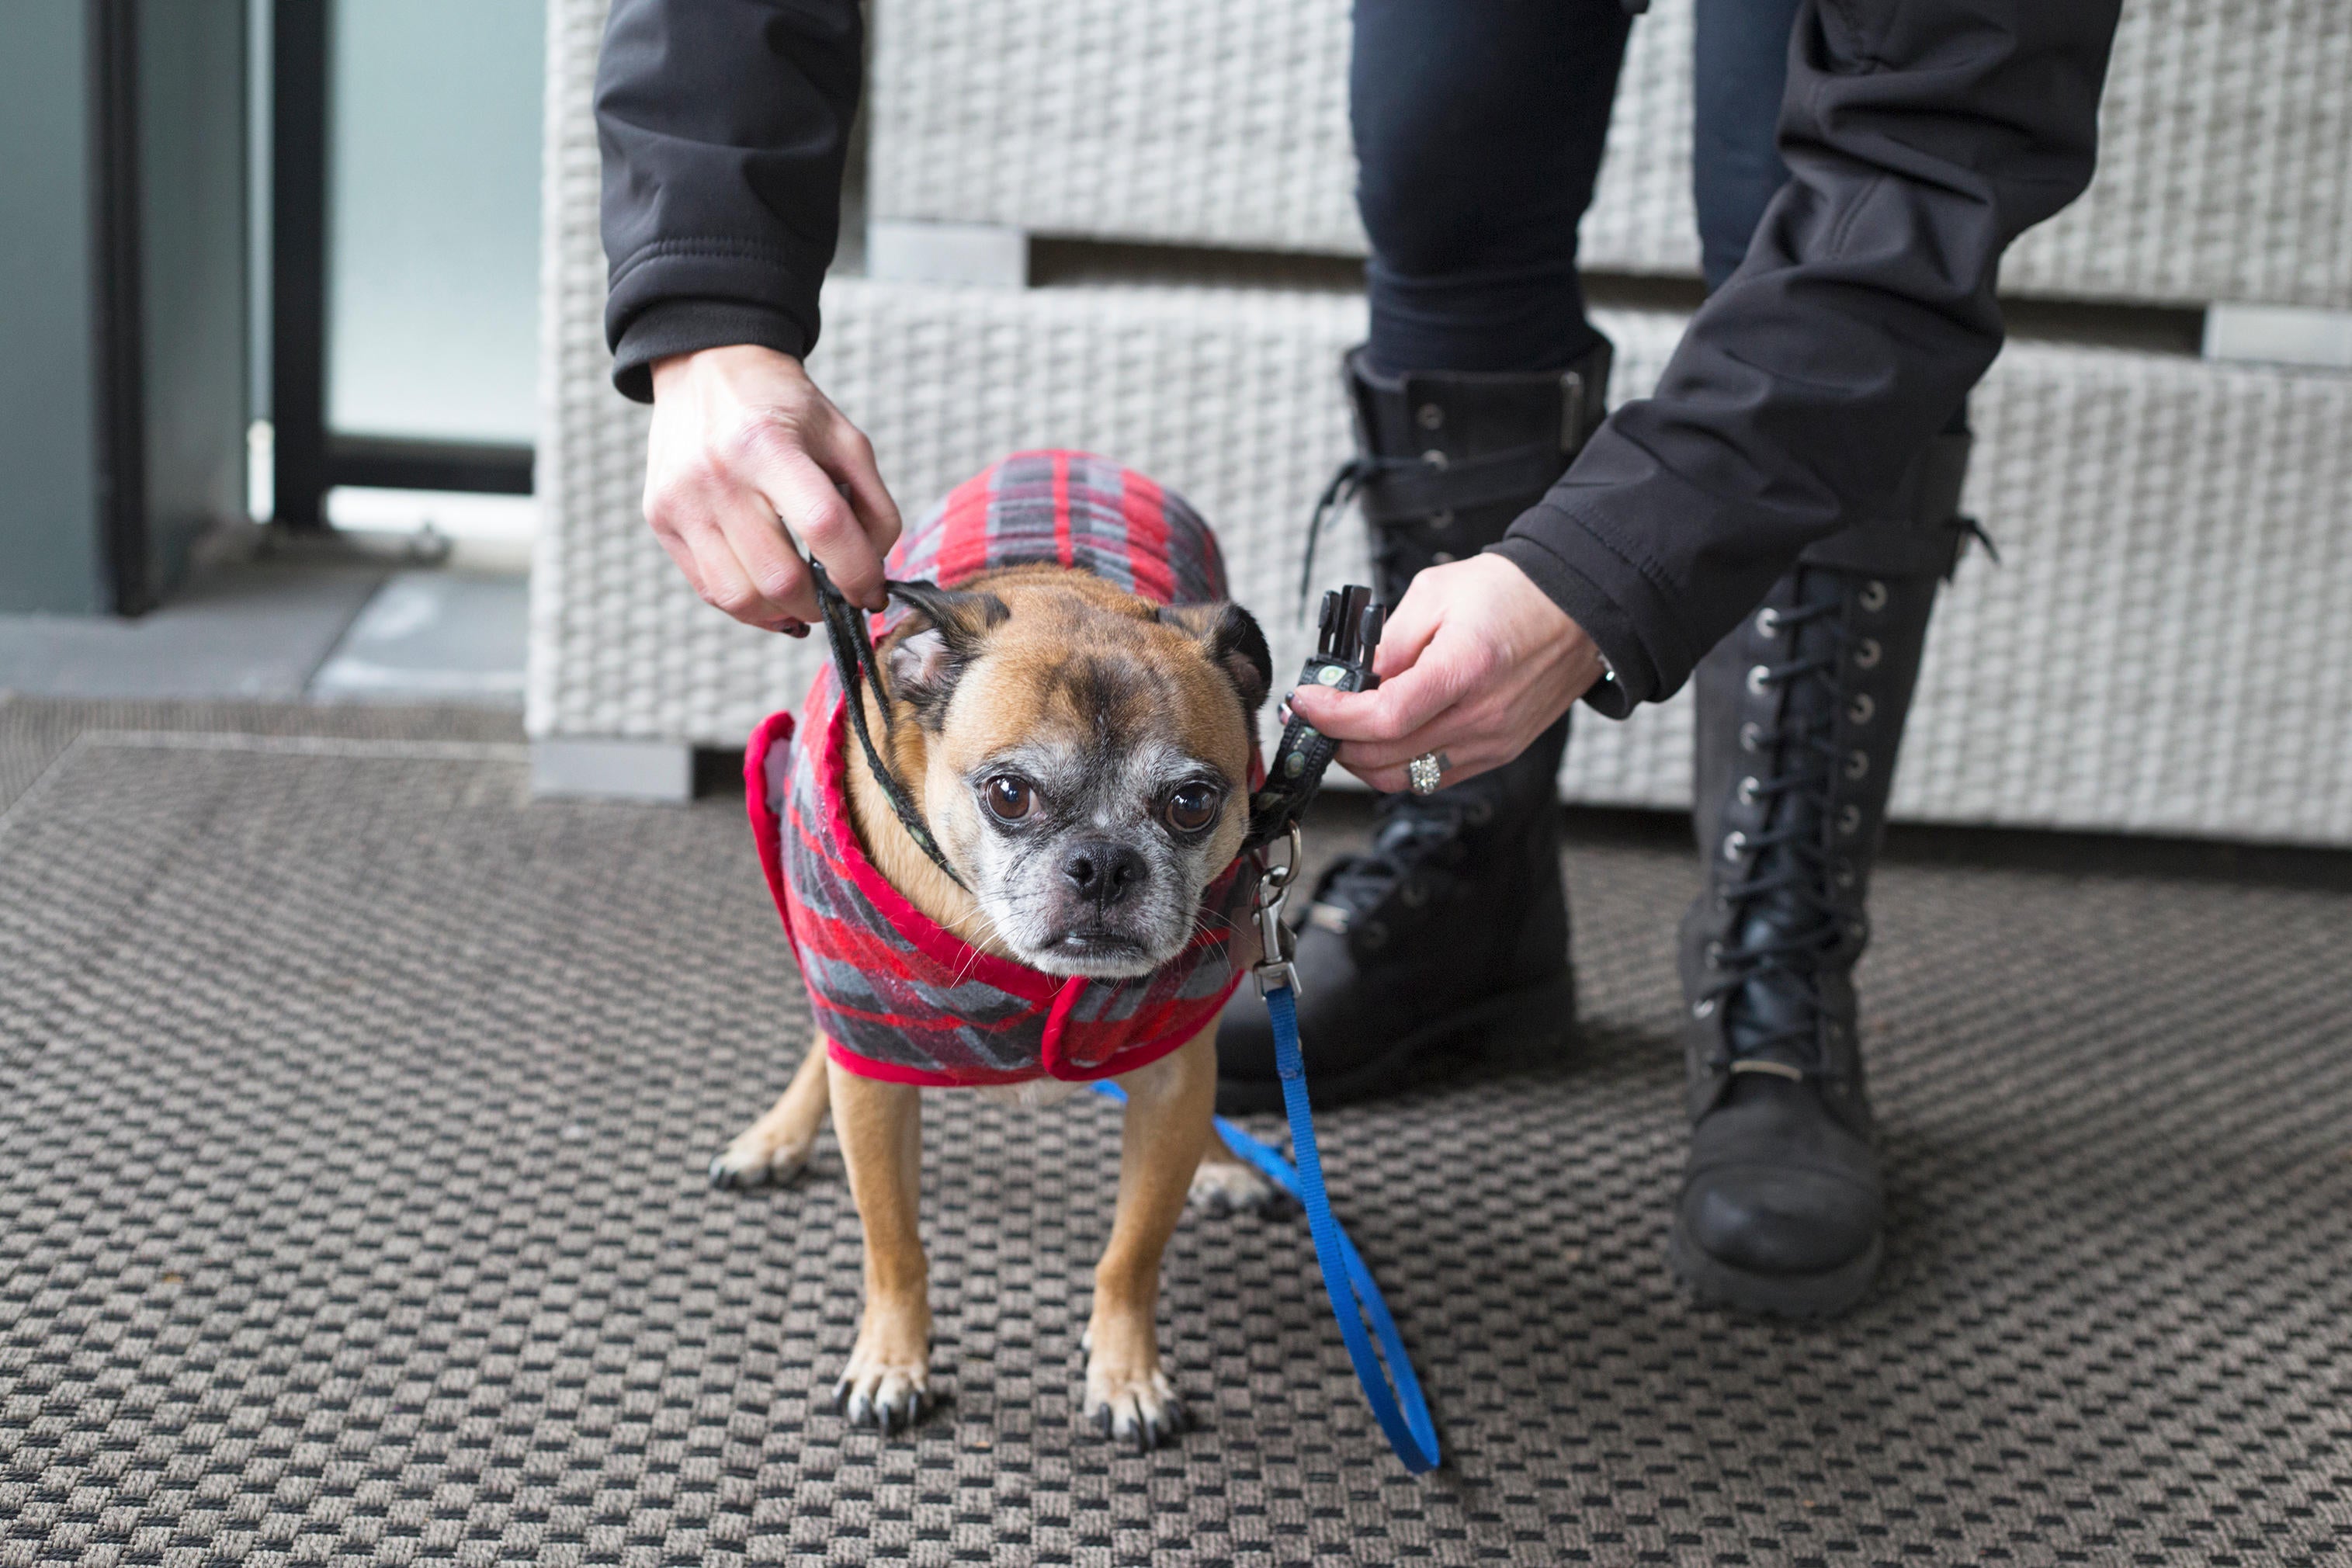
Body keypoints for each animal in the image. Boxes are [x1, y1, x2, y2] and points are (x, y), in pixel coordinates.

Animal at [729, 451, 1289, 1448]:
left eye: (1192, 802)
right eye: (1008, 794)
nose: (1103, 864)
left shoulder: (1172, 1085)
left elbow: (1131, 1253)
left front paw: (1126, 1372)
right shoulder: (874, 1081)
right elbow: (894, 1244)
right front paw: (893, 1361)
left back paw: (1225, 1165)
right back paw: (778, 1134)